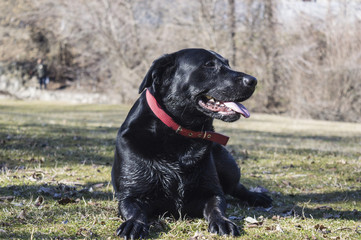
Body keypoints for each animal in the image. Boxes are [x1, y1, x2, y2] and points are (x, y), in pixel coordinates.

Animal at [111, 48, 272, 238]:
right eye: (209, 65)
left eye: (228, 64)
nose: (253, 80)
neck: (179, 134)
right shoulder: (131, 196)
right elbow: (134, 212)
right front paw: (134, 224)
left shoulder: (211, 192)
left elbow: (217, 207)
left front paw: (223, 221)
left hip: (228, 167)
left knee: (236, 188)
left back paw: (257, 197)